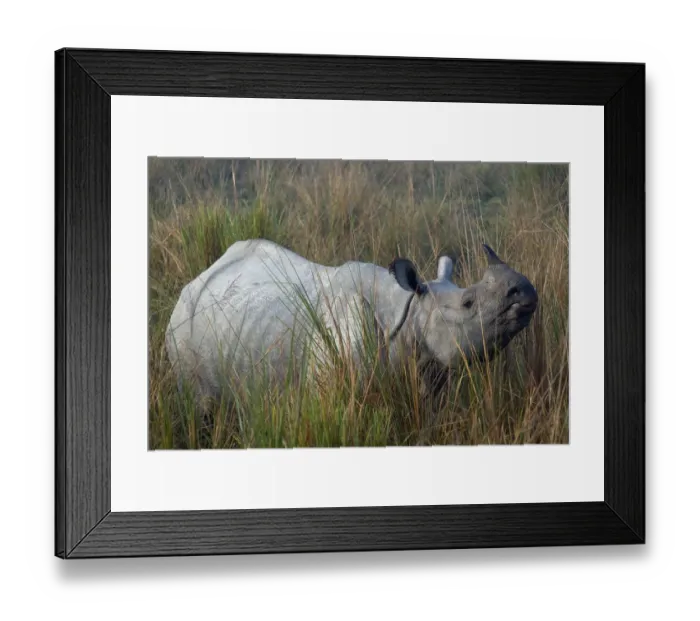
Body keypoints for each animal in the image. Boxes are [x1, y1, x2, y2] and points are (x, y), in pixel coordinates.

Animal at [164, 239, 538, 405]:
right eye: (468, 303)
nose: (525, 292)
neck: (408, 313)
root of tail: (199, 277)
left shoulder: (429, 374)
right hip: (181, 326)